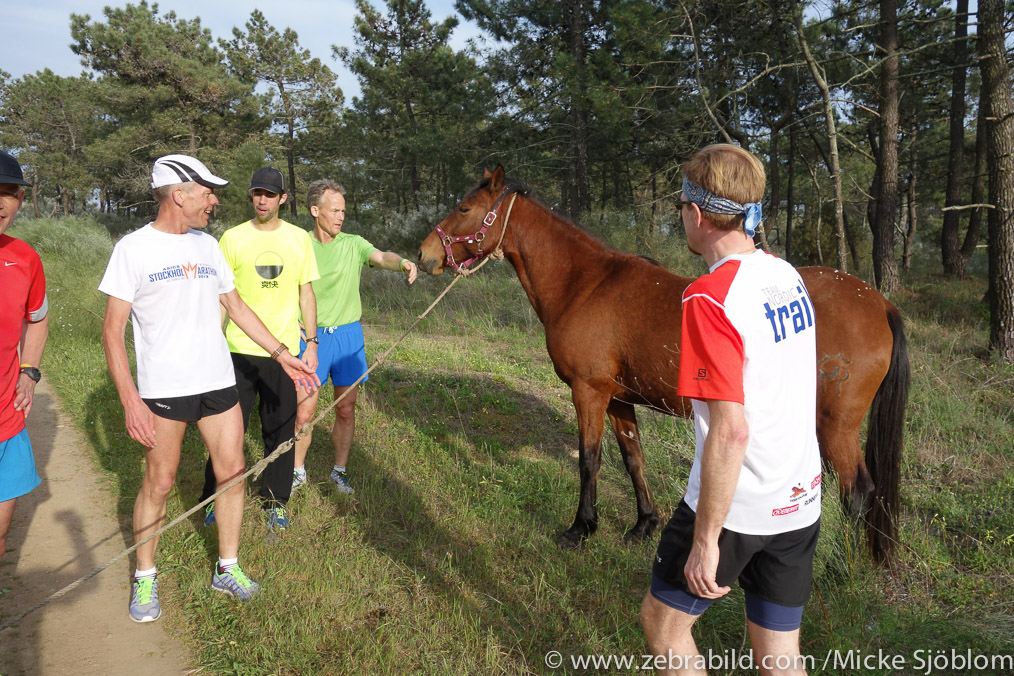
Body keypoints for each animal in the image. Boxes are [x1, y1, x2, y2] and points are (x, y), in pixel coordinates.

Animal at [415, 166, 908, 563]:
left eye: (463, 207)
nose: (424, 254)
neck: (586, 283)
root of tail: (878, 303)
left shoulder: (588, 392)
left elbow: (589, 461)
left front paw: (581, 527)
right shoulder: (617, 398)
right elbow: (633, 458)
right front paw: (644, 523)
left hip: (835, 426)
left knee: (858, 493)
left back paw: (841, 569)